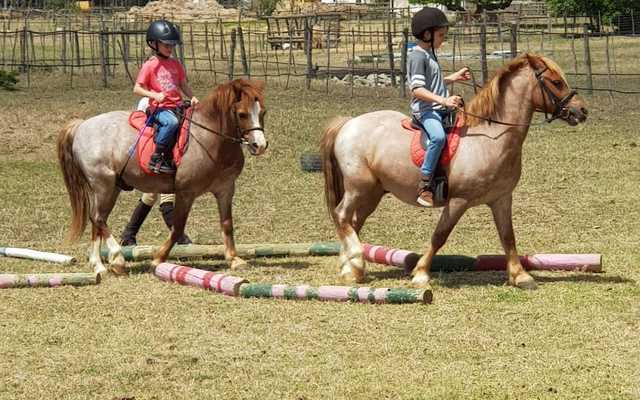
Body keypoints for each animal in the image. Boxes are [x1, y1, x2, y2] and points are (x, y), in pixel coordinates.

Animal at [57, 79, 267, 275]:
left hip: (110, 187)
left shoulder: (225, 189)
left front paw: (234, 259)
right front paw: (158, 258)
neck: (211, 138)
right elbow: (177, 227)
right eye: (242, 114)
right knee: (98, 218)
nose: (260, 145)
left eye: (263, 112)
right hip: (103, 185)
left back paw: (98, 265)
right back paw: (117, 259)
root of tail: (82, 125)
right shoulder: (186, 192)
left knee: (97, 220)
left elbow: (227, 224)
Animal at [320, 53, 588, 290]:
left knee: (353, 222)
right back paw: (355, 262)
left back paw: (351, 268)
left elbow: (507, 236)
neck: (490, 139)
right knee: (341, 215)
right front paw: (420, 274)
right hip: (359, 187)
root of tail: (348, 123)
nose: (582, 111)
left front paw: (520, 276)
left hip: (373, 193)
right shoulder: (458, 201)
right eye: (556, 82)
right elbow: (440, 235)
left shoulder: (501, 198)